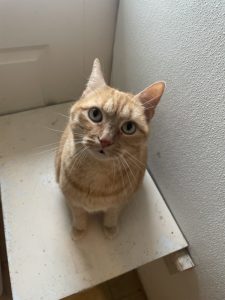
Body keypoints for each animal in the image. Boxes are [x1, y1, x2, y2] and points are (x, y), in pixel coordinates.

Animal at [55, 59, 164, 239]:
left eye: (129, 127)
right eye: (95, 114)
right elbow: (79, 214)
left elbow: (112, 214)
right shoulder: (72, 200)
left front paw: (110, 228)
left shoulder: (120, 203)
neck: (97, 173)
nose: (105, 140)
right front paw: (79, 229)